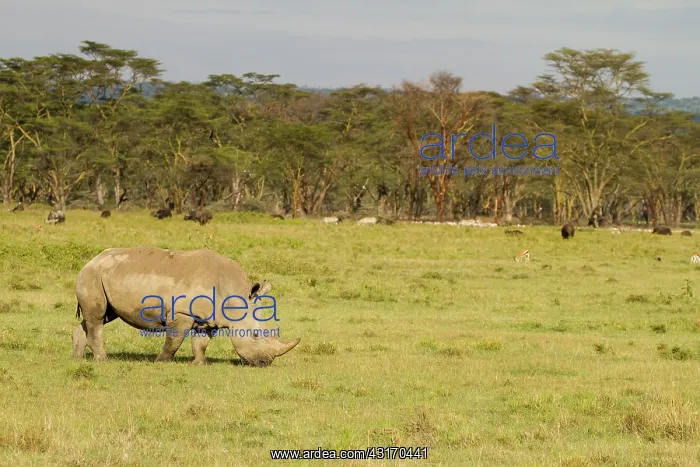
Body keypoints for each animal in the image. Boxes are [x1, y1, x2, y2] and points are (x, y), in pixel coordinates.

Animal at [72, 246, 301, 367]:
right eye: (255, 335)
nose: (265, 362)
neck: (235, 297)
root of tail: (91, 260)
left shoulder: (208, 317)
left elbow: (201, 342)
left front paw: (199, 364)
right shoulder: (182, 312)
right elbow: (174, 340)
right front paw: (161, 362)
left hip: (105, 275)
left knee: (101, 317)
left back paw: (78, 358)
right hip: (92, 275)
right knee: (97, 318)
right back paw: (103, 360)